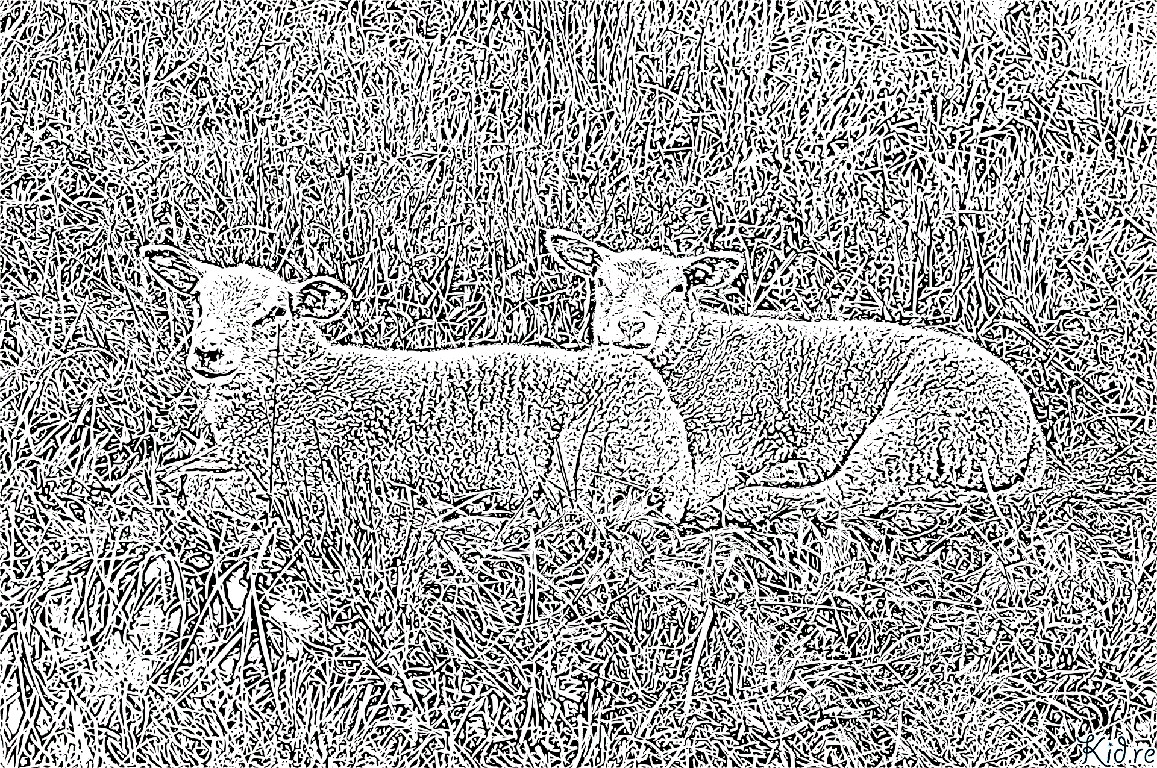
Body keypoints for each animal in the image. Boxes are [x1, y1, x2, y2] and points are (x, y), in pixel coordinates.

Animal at [141, 245, 693, 525]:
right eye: (198, 300)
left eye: (275, 313)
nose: (208, 351)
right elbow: (167, 467)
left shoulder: (297, 477)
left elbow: (182, 483)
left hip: (600, 460)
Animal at [544, 229, 1047, 523]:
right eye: (602, 284)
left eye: (677, 289)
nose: (631, 325)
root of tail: (1029, 440)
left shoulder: (719, 438)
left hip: (918, 411)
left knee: (852, 493)